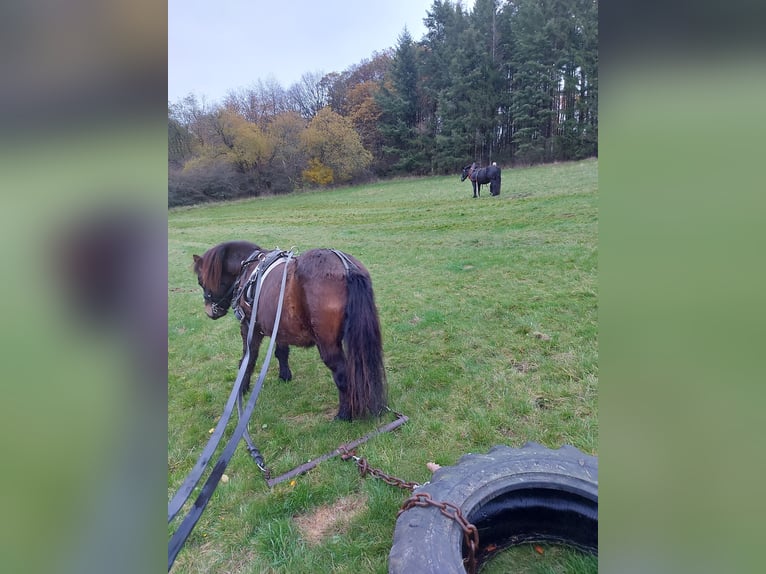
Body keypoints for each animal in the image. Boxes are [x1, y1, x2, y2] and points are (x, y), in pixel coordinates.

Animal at [190, 241, 388, 420]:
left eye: (201, 281)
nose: (209, 311)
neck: (249, 268)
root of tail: (346, 267)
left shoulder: (249, 326)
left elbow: (249, 358)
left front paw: (243, 387)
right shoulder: (279, 325)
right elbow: (281, 351)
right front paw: (284, 375)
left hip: (328, 344)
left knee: (342, 374)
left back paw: (344, 414)